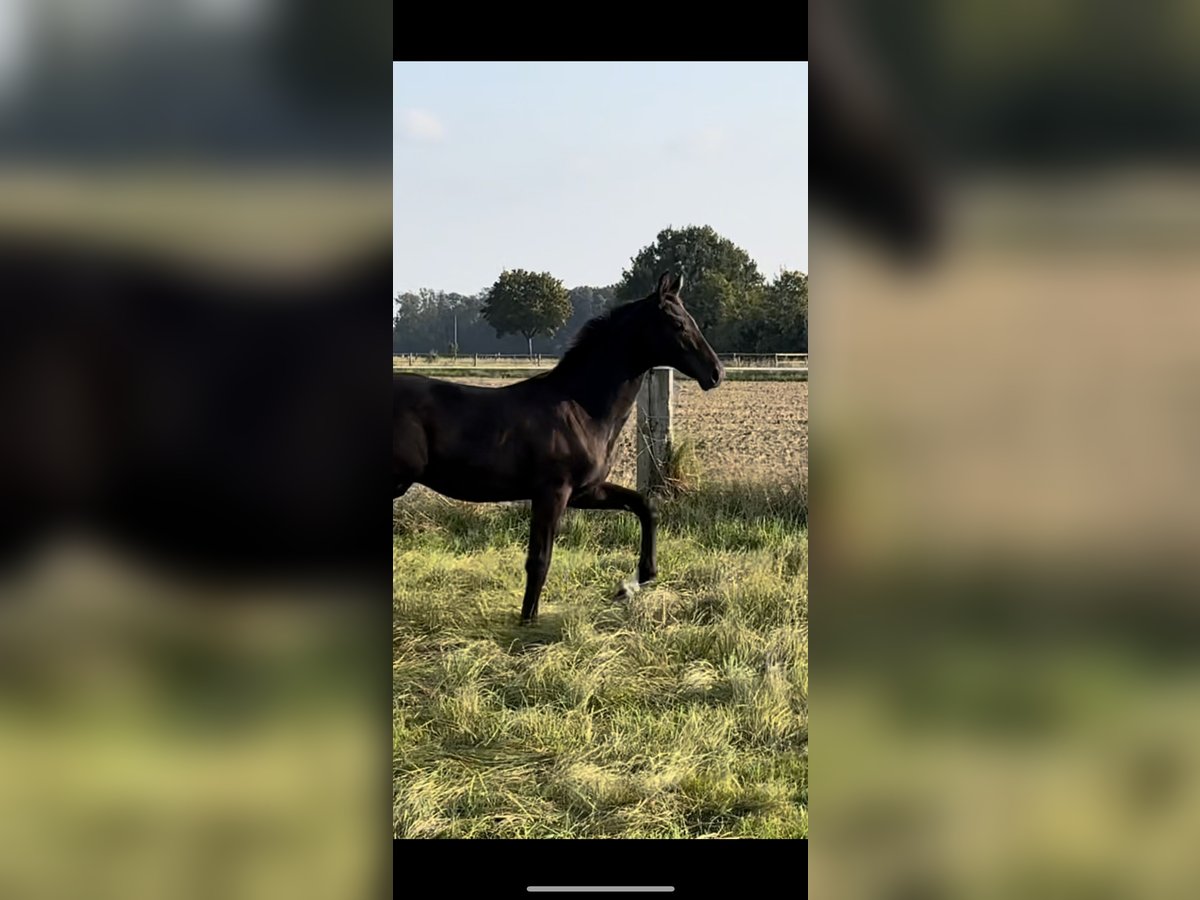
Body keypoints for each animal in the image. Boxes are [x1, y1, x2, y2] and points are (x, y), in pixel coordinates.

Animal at [393, 271, 720, 624]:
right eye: (677, 323)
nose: (716, 373)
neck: (581, 409)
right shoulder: (552, 492)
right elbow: (539, 561)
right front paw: (527, 623)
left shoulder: (584, 492)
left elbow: (645, 505)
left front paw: (636, 580)